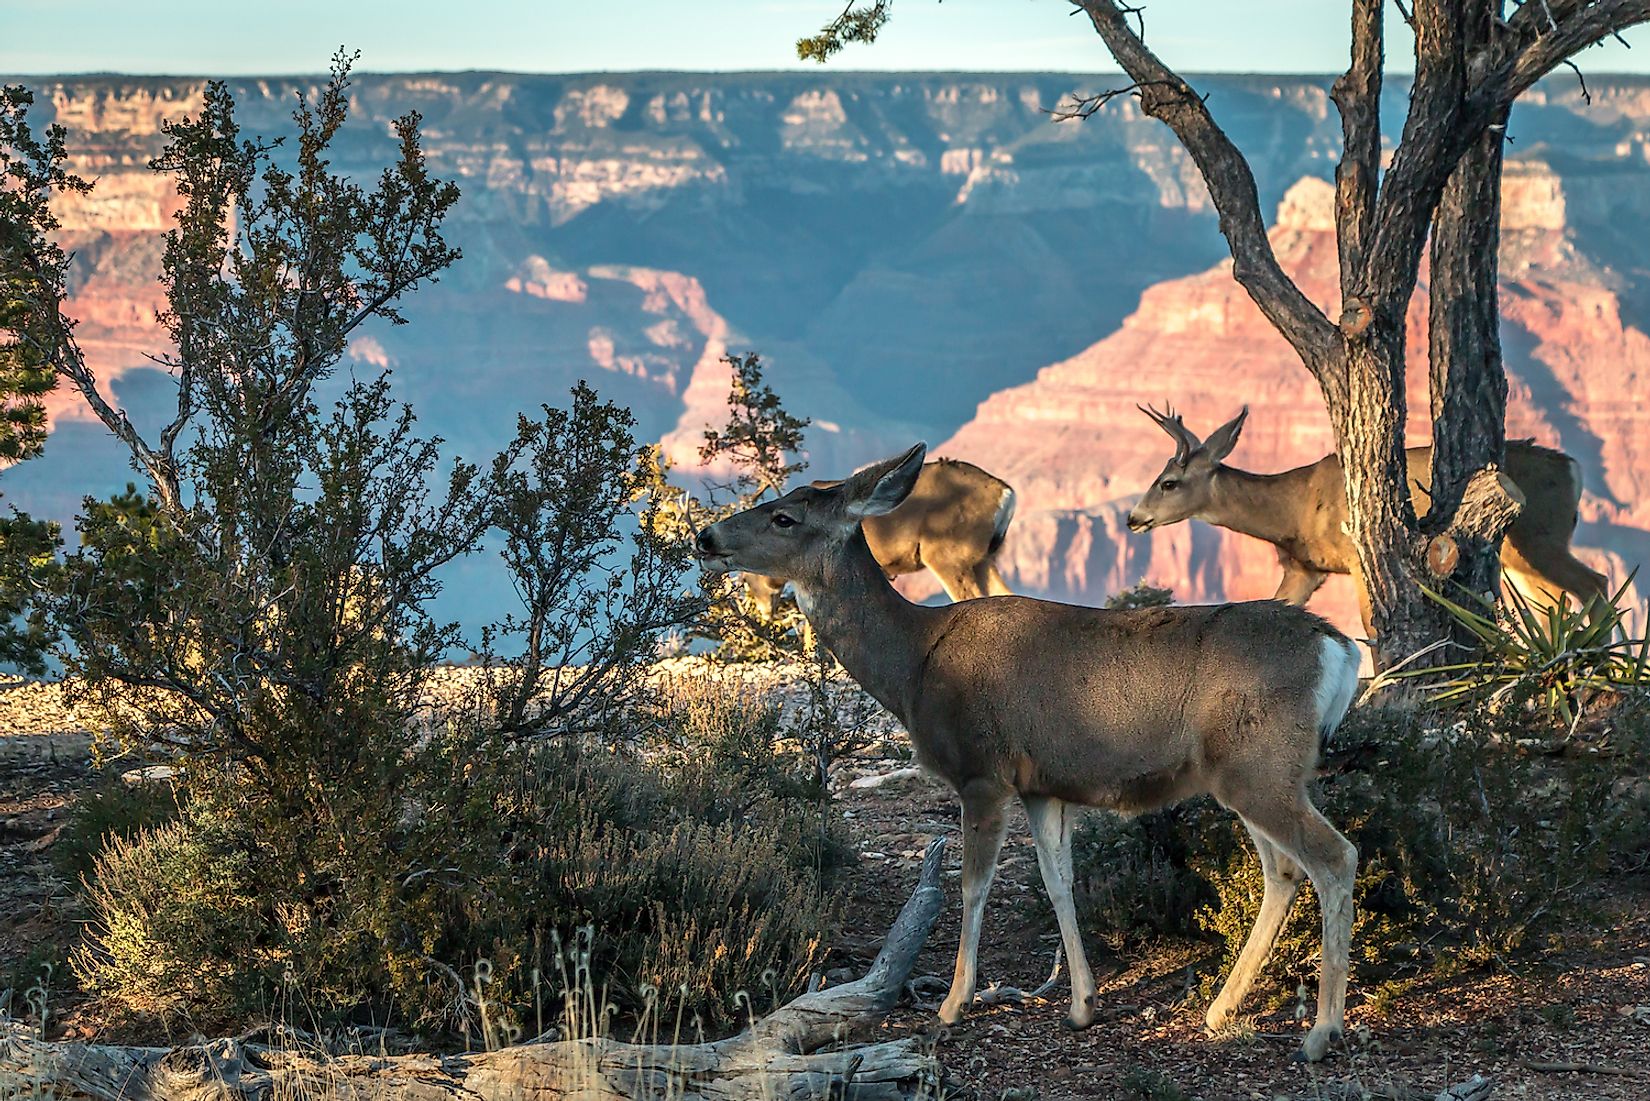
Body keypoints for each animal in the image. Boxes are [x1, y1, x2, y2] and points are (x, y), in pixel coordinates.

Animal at [1128, 404, 1603, 633]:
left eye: (1168, 482)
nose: (1133, 518)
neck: (1293, 508)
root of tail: (1573, 469)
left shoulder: (1358, 556)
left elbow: (1372, 626)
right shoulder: (1305, 570)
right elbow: (1275, 607)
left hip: (1539, 537)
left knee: (1593, 584)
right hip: (1520, 560)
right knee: (1554, 604)